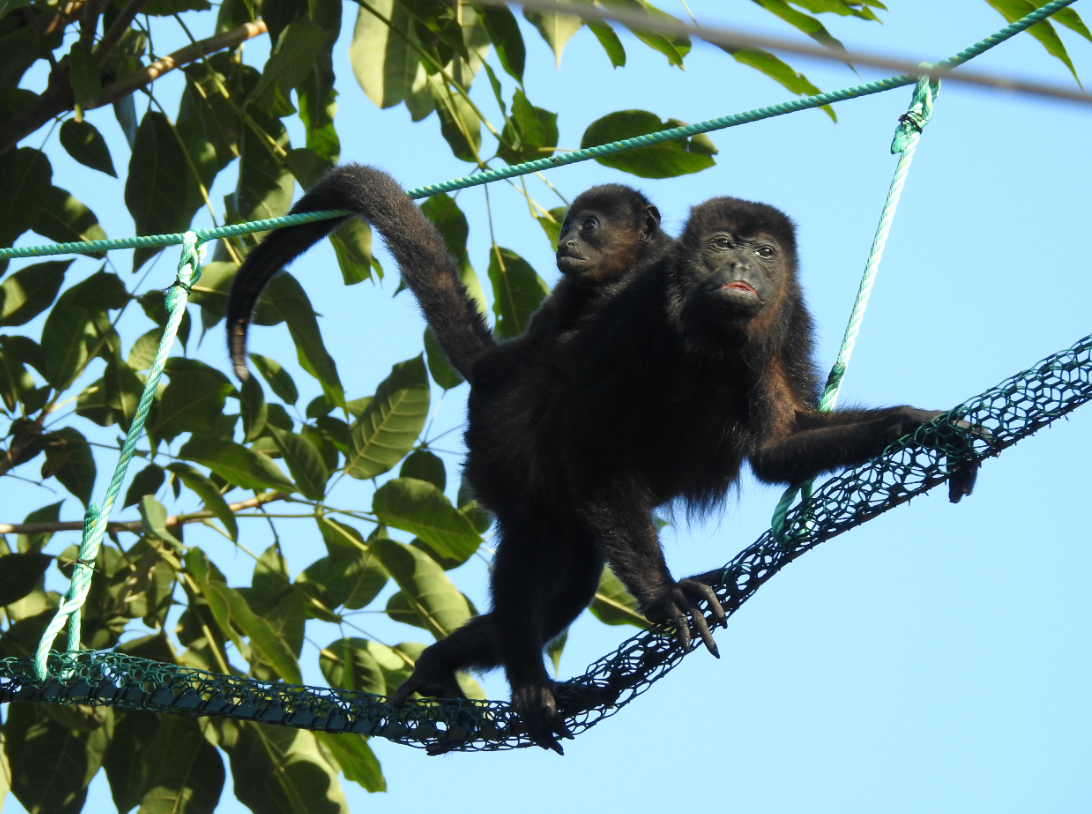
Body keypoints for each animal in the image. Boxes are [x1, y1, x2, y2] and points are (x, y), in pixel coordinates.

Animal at [394, 195, 978, 753]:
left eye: (765, 252)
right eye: (722, 244)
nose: (741, 264)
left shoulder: (789, 319)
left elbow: (774, 447)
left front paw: (921, 426)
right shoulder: (638, 309)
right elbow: (588, 442)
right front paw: (665, 595)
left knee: (570, 585)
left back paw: (440, 662)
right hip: (495, 445)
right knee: (528, 528)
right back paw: (527, 680)